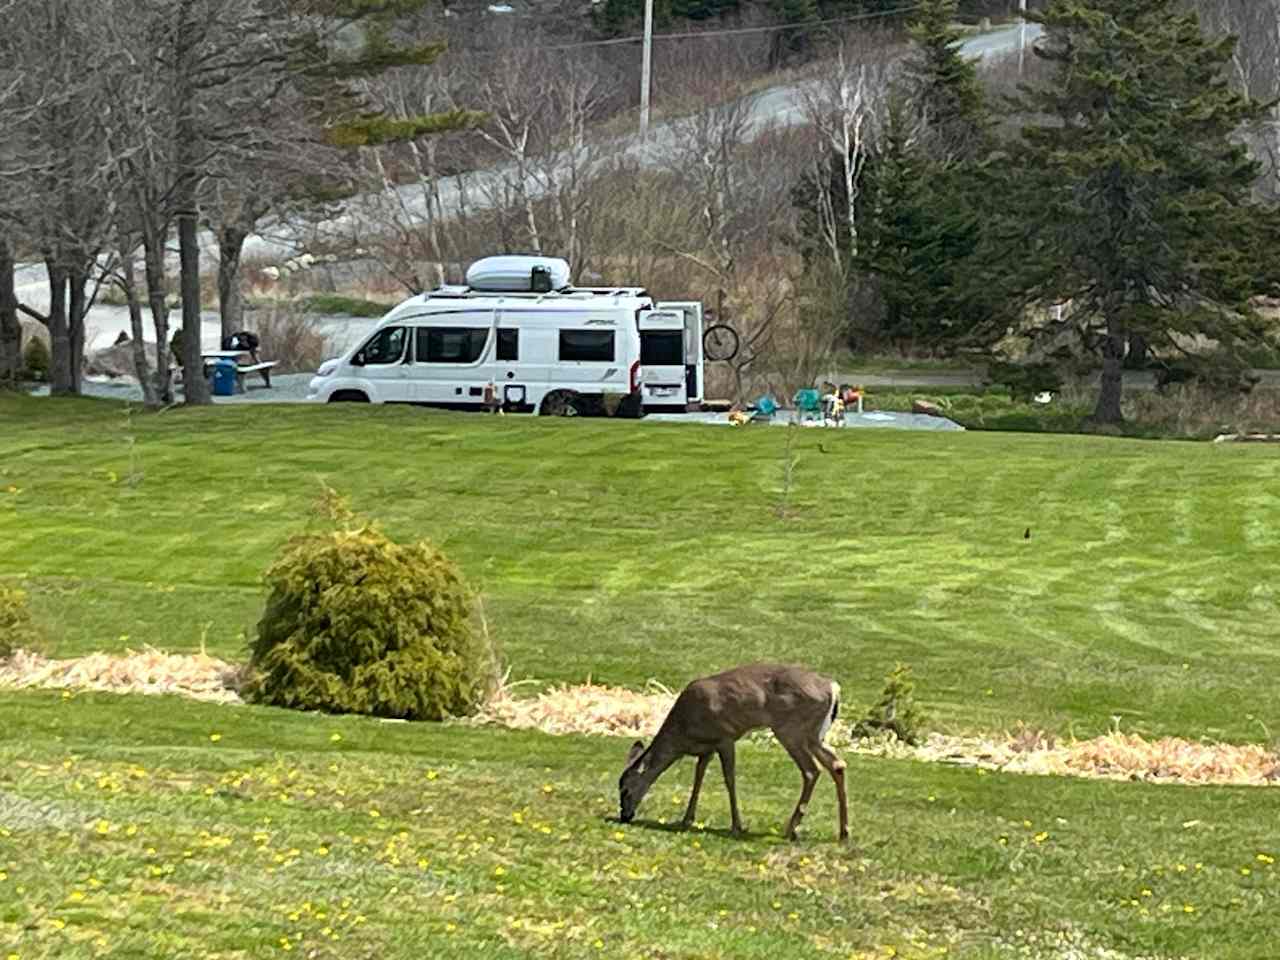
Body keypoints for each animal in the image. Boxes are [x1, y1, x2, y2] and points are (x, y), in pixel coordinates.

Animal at [619, 665, 849, 844]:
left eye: (625, 790)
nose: (624, 816)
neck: (683, 733)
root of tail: (833, 687)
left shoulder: (725, 737)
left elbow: (729, 779)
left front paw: (737, 826)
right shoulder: (707, 749)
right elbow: (698, 778)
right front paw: (686, 819)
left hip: (791, 730)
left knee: (811, 770)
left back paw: (791, 829)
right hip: (814, 734)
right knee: (837, 764)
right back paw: (843, 833)